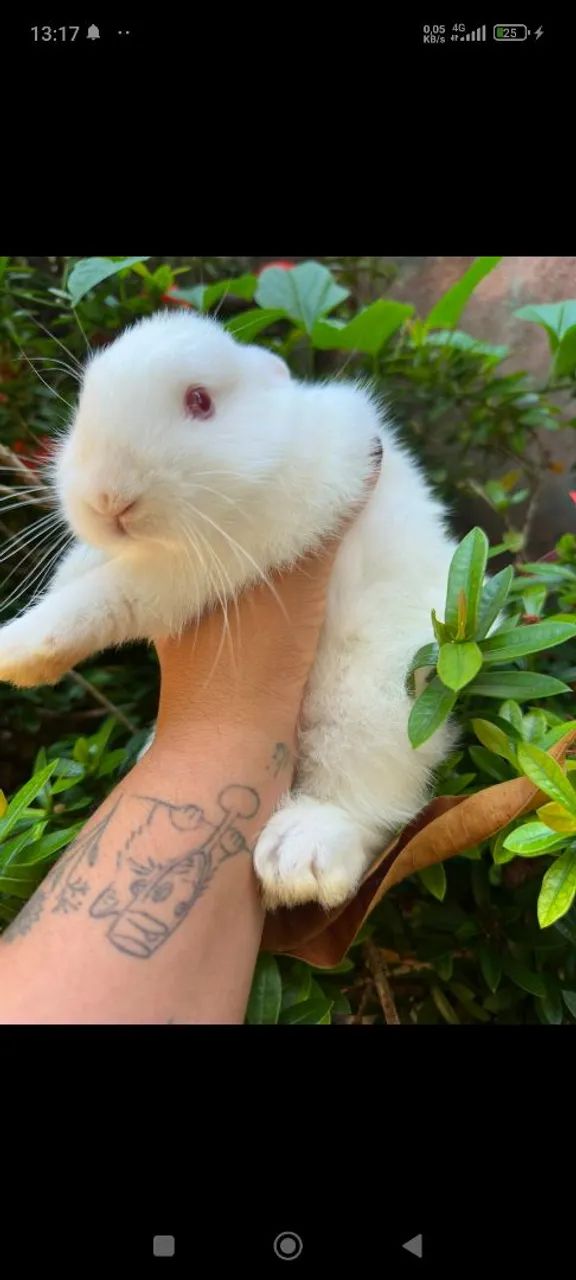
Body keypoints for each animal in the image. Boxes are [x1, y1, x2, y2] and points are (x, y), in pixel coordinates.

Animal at [0, 310, 458, 910]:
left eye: (200, 401)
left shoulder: (207, 562)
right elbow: (81, 568)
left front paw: (17, 654)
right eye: (84, 400)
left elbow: (108, 598)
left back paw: (300, 857)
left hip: (373, 706)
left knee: (367, 806)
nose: (107, 500)